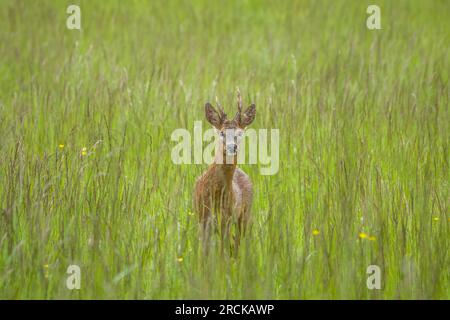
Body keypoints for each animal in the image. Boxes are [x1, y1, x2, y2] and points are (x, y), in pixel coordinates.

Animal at [193, 89, 256, 250]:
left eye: (239, 133)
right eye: (222, 132)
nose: (232, 147)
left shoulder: (226, 218)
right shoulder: (202, 218)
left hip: (244, 215)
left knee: (237, 244)